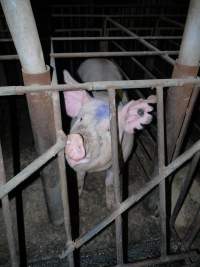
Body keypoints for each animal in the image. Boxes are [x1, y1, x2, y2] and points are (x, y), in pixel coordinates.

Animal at [63, 59, 155, 209]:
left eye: (109, 129)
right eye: (80, 118)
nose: (77, 139)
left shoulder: (122, 157)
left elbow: (110, 180)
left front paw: (111, 205)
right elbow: (80, 176)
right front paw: (78, 195)